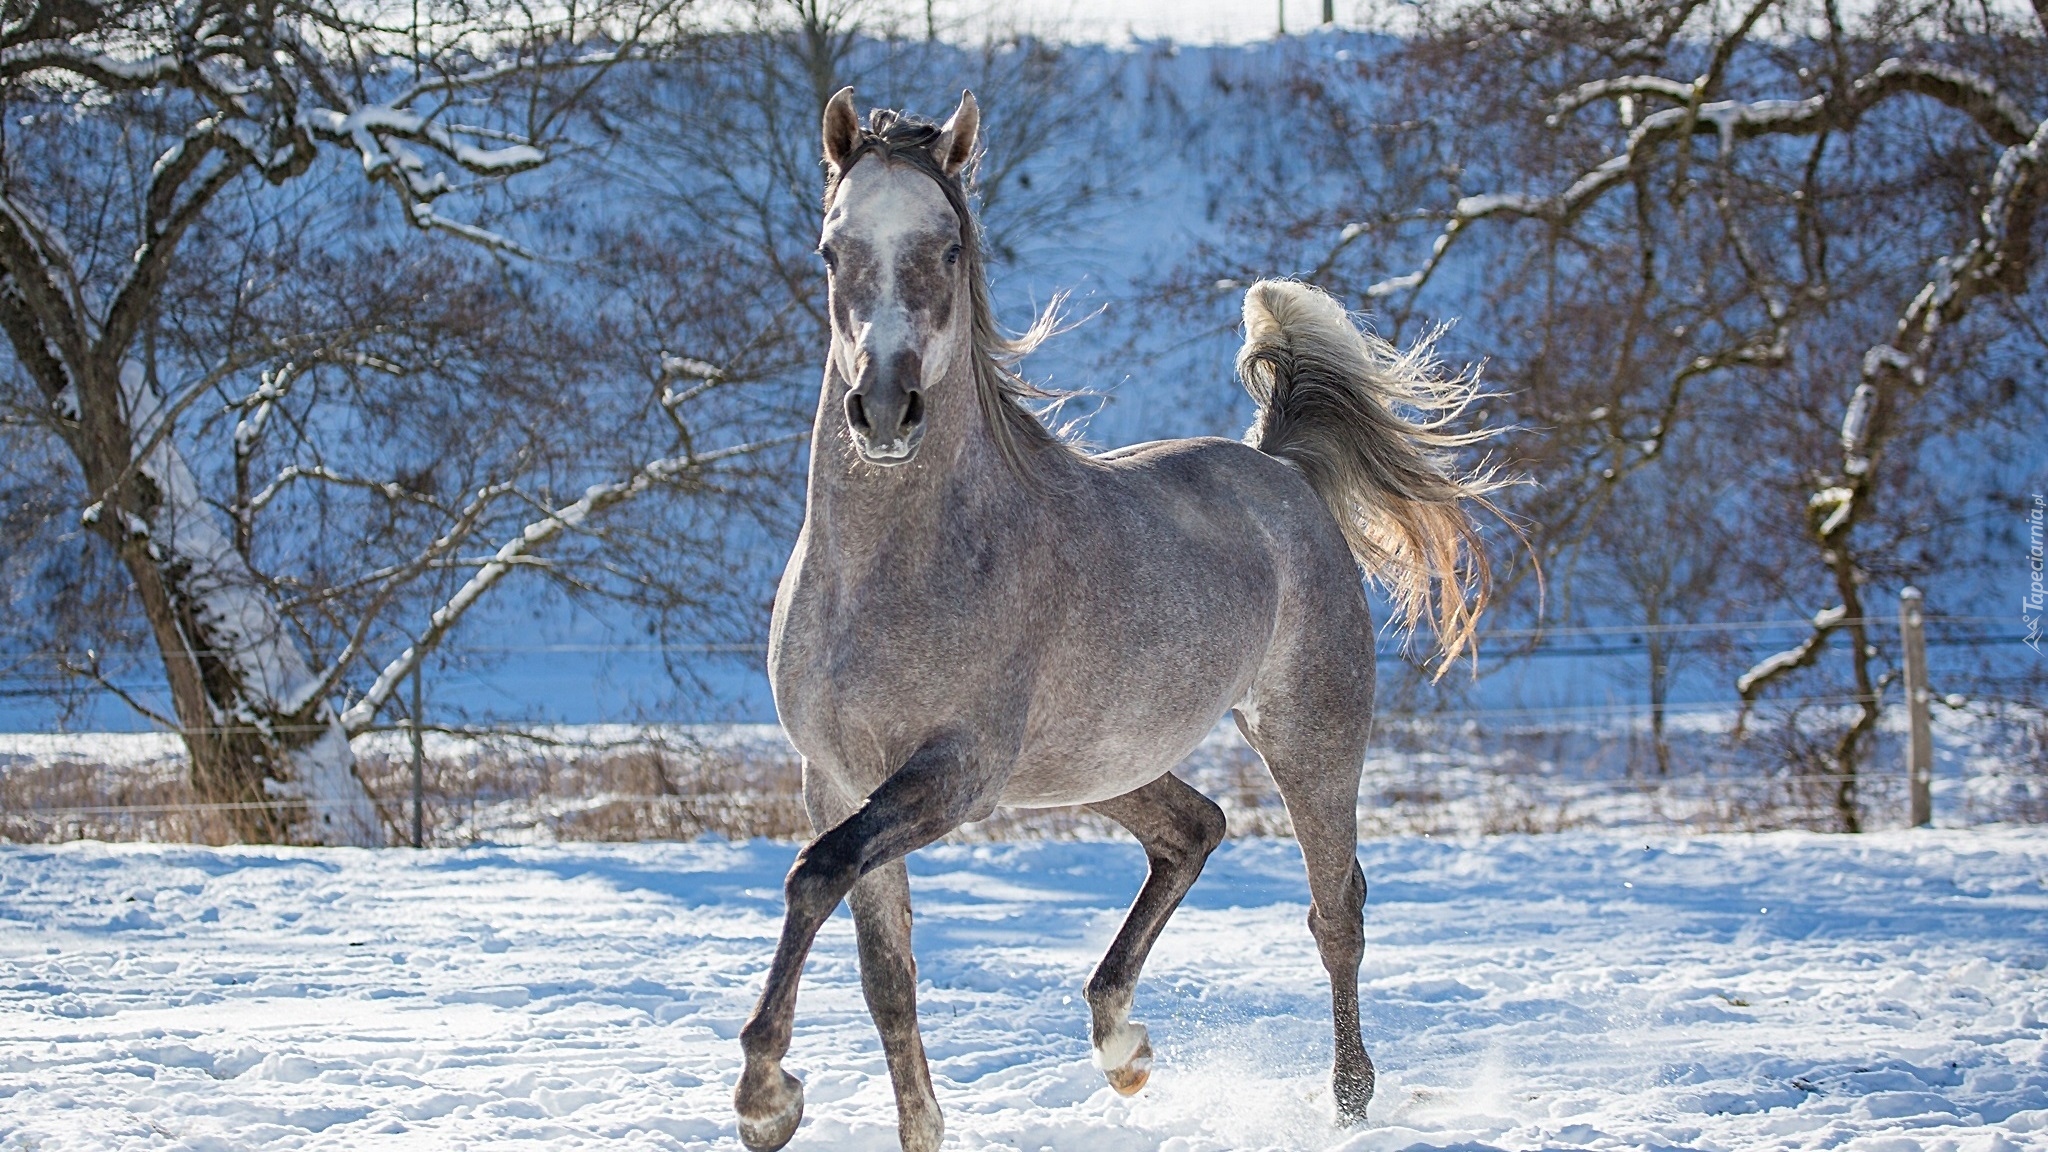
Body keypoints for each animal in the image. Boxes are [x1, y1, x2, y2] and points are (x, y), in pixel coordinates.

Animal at [737, 85, 1507, 1139]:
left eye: (950, 248)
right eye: (830, 248)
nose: (886, 408)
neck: (887, 575)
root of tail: (1277, 466)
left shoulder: (953, 773)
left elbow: (814, 874)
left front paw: (764, 1096)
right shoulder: (838, 780)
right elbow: (883, 976)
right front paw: (903, 1125)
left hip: (1309, 737)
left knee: (1334, 910)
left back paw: (1348, 1099)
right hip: (1094, 765)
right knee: (1194, 829)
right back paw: (1122, 1046)